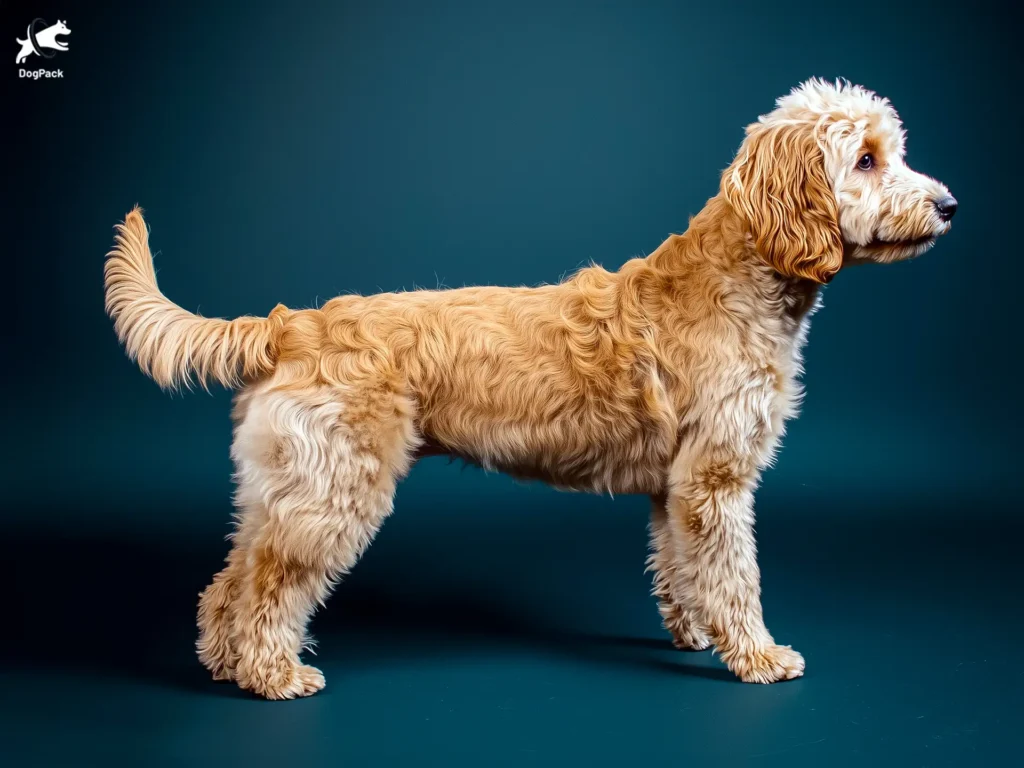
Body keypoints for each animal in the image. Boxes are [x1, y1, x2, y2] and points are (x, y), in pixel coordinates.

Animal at [103, 78, 950, 696]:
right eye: (867, 159)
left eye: (893, 151)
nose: (948, 204)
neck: (741, 274)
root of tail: (291, 325)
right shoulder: (716, 478)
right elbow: (736, 575)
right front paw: (759, 655)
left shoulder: (675, 487)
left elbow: (681, 567)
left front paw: (694, 633)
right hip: (332, 492)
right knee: (271, 585)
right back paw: (272, 672)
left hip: (283, 486)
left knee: (232, 576)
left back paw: (223, 661)